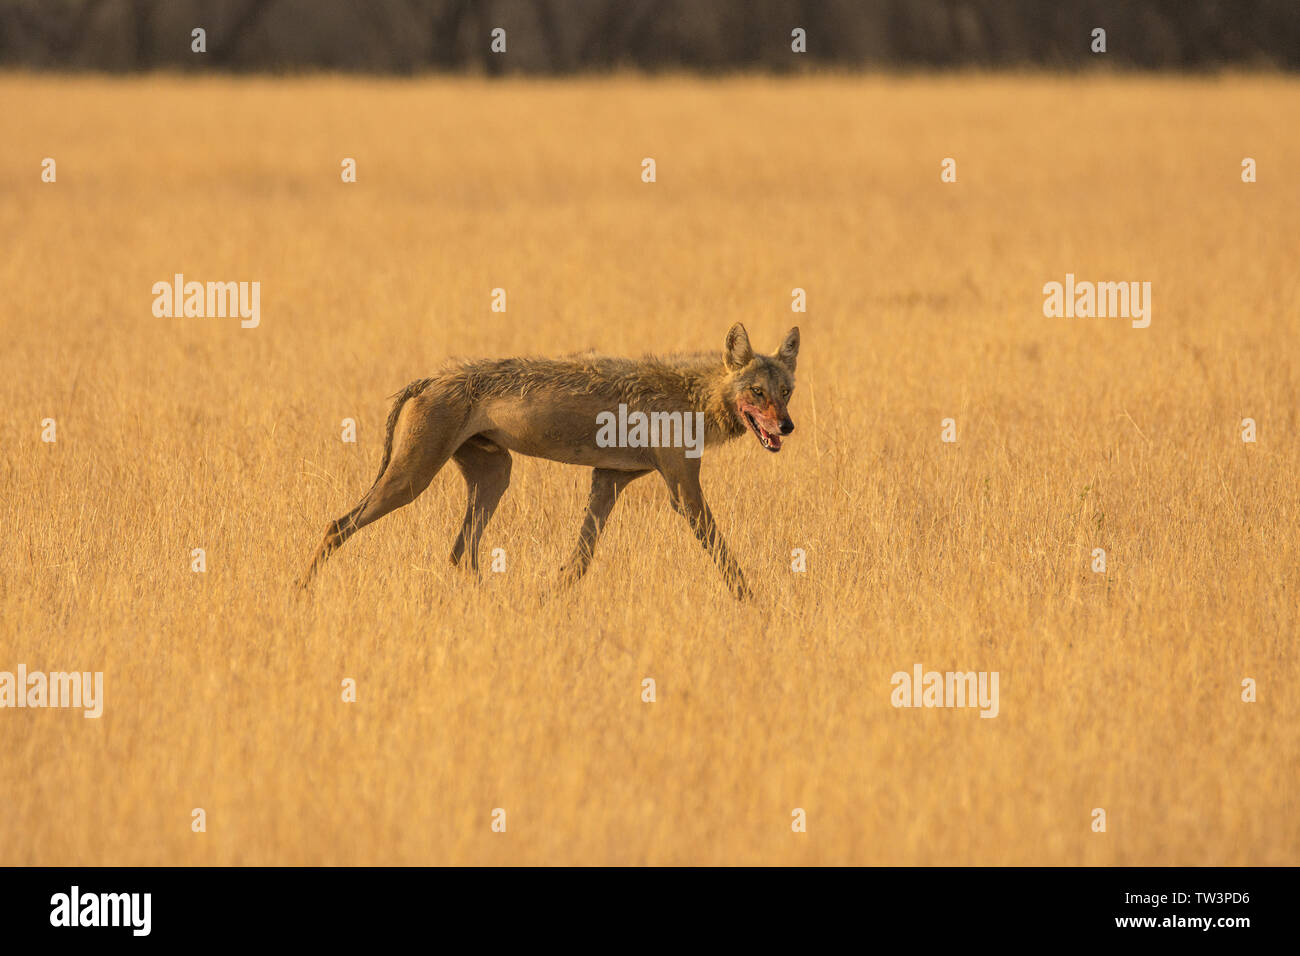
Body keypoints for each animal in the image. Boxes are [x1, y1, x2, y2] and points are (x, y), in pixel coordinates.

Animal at [297, 325, 795, 600]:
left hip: (495, 478)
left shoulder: (609, 479)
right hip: (411, 481)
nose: (787, 427)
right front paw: (754, 605)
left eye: (786, 391)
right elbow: (725, 556)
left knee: (461, 553)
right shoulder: (683, 491)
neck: (696, 396)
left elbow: (579, 561)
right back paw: (300, 595)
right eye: (757, 393)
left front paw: (547, 600)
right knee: (337, 525)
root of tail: (431, 377)